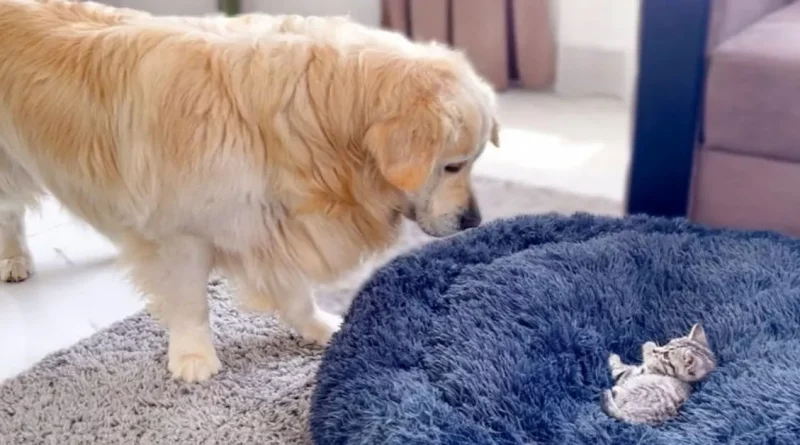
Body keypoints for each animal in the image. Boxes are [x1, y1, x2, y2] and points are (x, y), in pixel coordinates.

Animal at [0, 0, 496, 382]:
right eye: (452, 165)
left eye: (473, 162)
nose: (474, 221)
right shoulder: (183, 233)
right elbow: (191, 302)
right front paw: (194, 356)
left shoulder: (270, 223)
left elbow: (295, 293)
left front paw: (321, 327)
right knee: (10, 213)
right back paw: (14, 260)